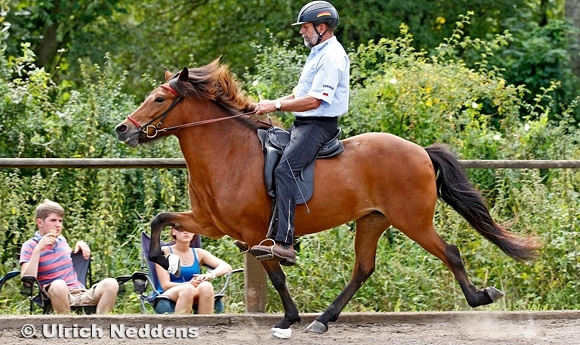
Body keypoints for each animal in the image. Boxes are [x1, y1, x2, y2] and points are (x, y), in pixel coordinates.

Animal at [113, 58, 540, 334]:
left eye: (159, 99)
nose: (123, 129)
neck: (228, 154)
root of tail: (419, 150)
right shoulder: (210, 223)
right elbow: (160, 220)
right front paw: (162, 260)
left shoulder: (255, 236)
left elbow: (278, 275)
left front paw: (288, 319)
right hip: (372, 220)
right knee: (363, 269)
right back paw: (324, 319)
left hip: (413, 220)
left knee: (449, 253)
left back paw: (481, 297)